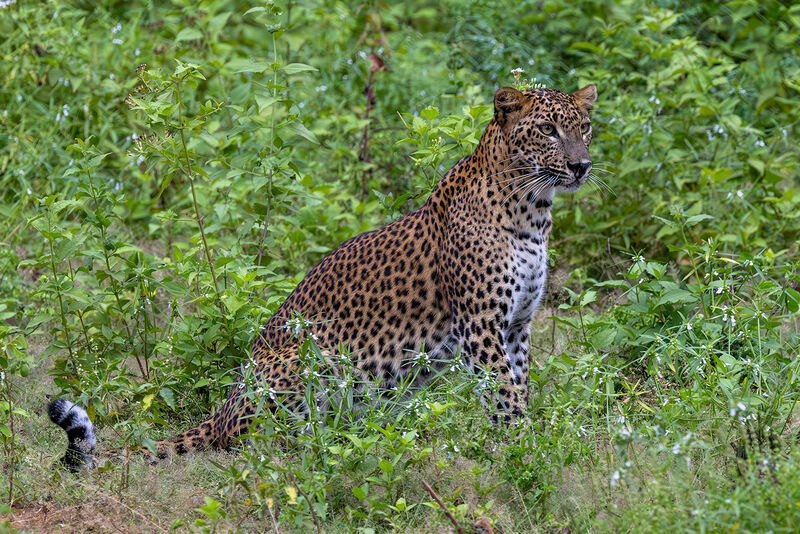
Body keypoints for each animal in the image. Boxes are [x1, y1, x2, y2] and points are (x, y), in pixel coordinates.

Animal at [49, 83, 598, 468]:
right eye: (548, 130)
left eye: (585, 126)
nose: (582, 166)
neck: (533, 213)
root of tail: (220, 412)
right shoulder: (481, 326)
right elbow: (505, 396)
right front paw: (522, 450)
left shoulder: (518, 325)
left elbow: (521, 385)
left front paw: (533, 443)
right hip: (314, 358)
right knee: (252, 443)